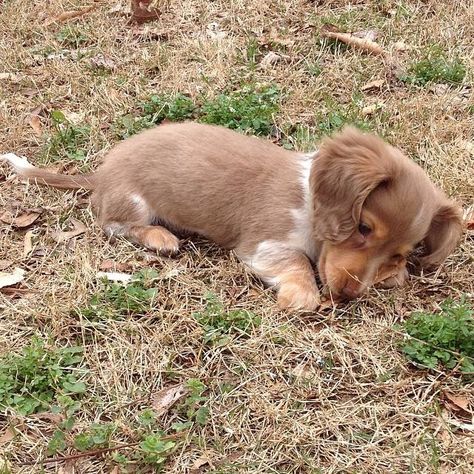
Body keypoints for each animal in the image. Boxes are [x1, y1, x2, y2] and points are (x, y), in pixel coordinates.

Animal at [1, 123, 462, 312]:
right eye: (363, 228)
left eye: (398, 254)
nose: (348, 296)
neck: (310, 203)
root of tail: (101, 173)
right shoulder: (264, 243)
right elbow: (297, 262)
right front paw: (302, 294)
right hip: (134, 203)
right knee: (114, 225)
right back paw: (158, 237)